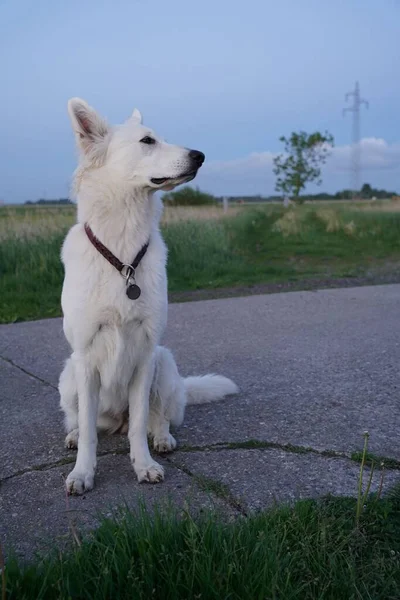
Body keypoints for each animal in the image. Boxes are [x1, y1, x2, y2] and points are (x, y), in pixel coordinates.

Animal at [58, 97, 238, 492]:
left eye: (162, 138)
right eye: (147, 141)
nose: (200, 156)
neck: (123, 257)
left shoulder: (144, 354)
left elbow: (140, 422)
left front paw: (143, 465)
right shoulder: (86, 357)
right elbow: (91, 435)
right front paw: (83, 472)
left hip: (164, 362)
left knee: (159, 416)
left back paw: (163, 438)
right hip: (68, 376)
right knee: (81, 421)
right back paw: (75, 434)